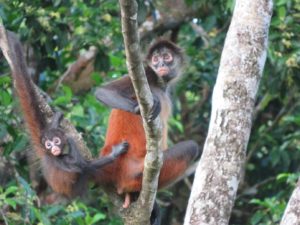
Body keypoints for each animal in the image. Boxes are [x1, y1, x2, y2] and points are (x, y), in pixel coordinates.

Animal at [0, 30, 127, 198]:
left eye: (55, 141)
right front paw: (115, 153)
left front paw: (57, 118)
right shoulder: (60, 161)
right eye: (49, 144)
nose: (53, 148)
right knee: (82, 166)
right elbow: (83, 167)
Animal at [94, 39, 199, 211]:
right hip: (136, 174)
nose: (161, 64)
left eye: (166, 57)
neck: (158, 82)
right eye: (155, 60)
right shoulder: (147, 73)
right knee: (192, 147)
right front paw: (139, 109)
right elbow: (103, 91)